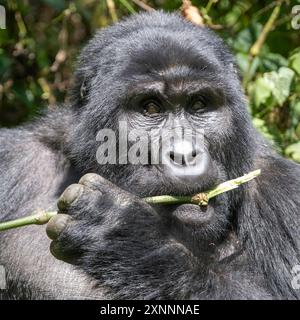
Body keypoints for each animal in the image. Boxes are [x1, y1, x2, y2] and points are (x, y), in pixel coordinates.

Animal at [0, 10, 300, 300]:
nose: (185, 154)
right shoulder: (13, 158)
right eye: (151, 108)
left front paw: (124, 234)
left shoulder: (285, 190)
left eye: (199, 104)